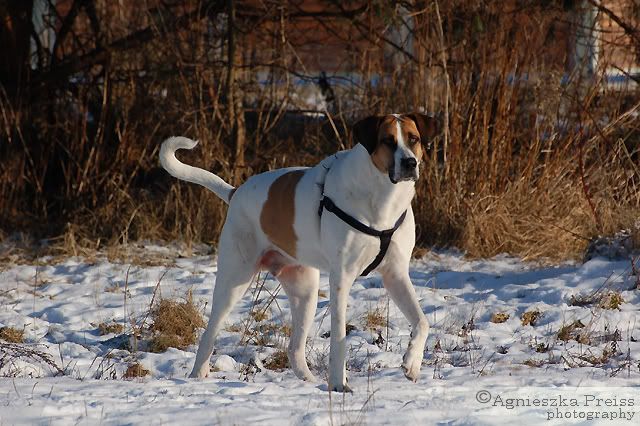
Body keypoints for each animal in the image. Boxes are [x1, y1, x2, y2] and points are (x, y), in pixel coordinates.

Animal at [159, 113, 437, 392]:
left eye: (413, 139)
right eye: (387, 141)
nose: (409, 163)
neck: (383, 196)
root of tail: (236, 193)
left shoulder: (396, 274)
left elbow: (422, 322)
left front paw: (412, 363)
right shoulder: (342, 278)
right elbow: (339, 337)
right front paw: (339, 384)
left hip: (305, 290)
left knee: (294, 348)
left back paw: (309, 381)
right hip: (234, 280)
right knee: (209, 334)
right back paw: (197, 375)